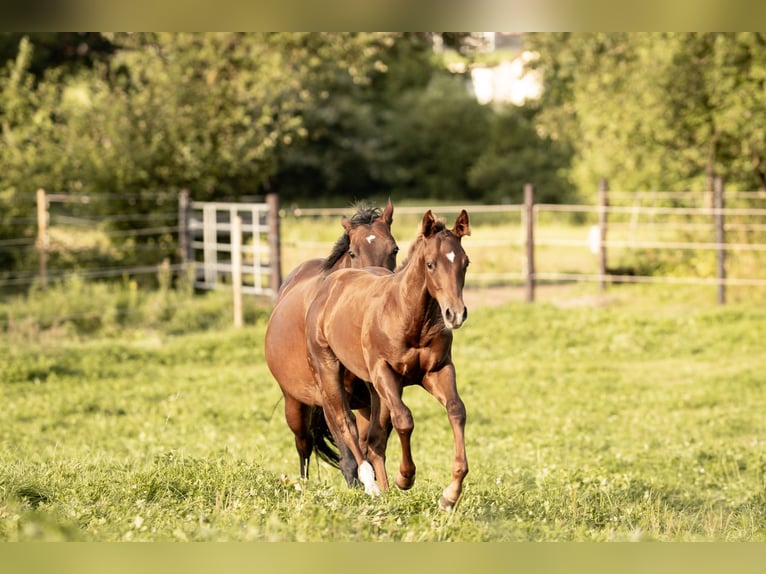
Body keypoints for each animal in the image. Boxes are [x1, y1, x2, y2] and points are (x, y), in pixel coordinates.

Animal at [266, 200, 400, 484]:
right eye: (352, 252)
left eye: (394, 249)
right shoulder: (329, 400)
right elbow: (348, 458)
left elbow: (372, 446)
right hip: (295, 405)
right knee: (304, 445)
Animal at [306, 212, 474, 512]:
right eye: (430, 264)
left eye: (465, 262)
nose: (455, 314)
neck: (409, 317)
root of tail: (330, 285)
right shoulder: (385, 372)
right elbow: (404, 420)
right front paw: (405, 477)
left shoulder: (438, 370)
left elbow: (456, 410)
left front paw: (451, 494)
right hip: (329, 368)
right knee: (346, 422)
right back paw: (370, 484)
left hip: (374, 389)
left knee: (374, 437)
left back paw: (383, 489)